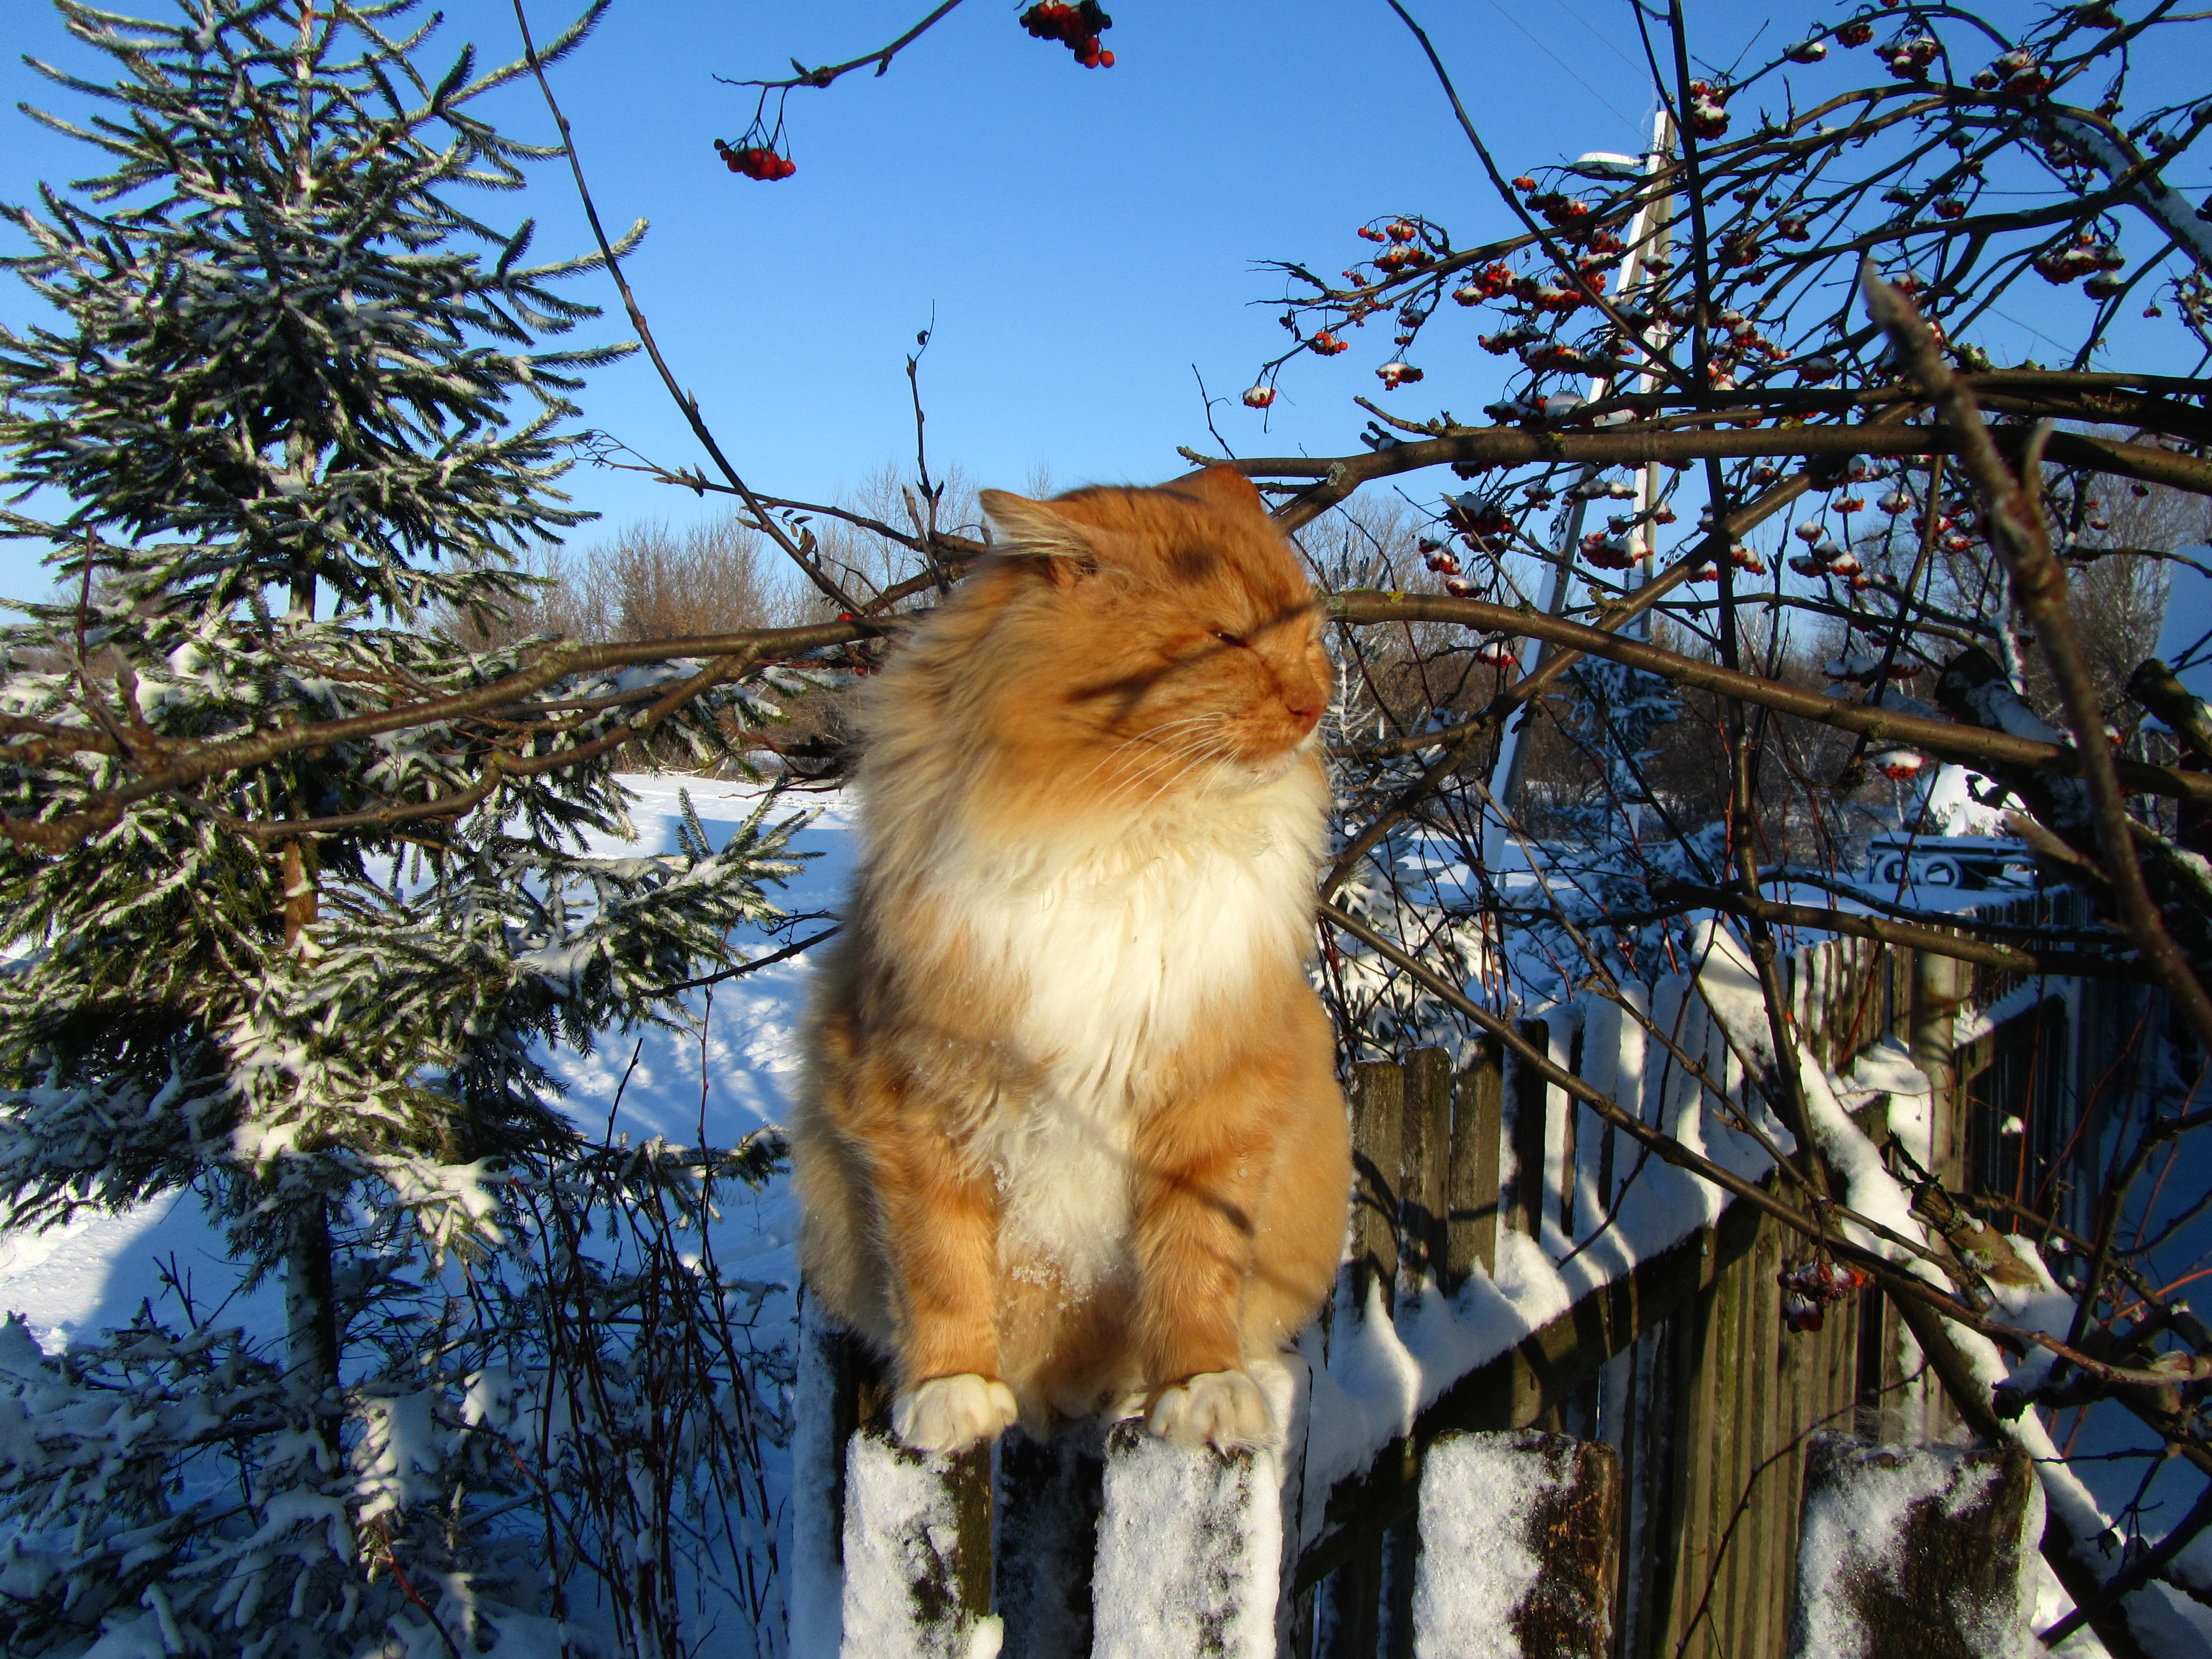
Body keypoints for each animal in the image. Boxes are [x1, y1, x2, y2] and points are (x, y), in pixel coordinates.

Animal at [796, 469, 1345, 1451]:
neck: (1119, 833)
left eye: (1312, 642)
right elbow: (940, 1265)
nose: (1311, 708)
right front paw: (952, 1389)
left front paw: (1198, 1386)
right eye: (1228, 640)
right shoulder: (917, 1093)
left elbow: (1194, 1264)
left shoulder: (1218, 1093)